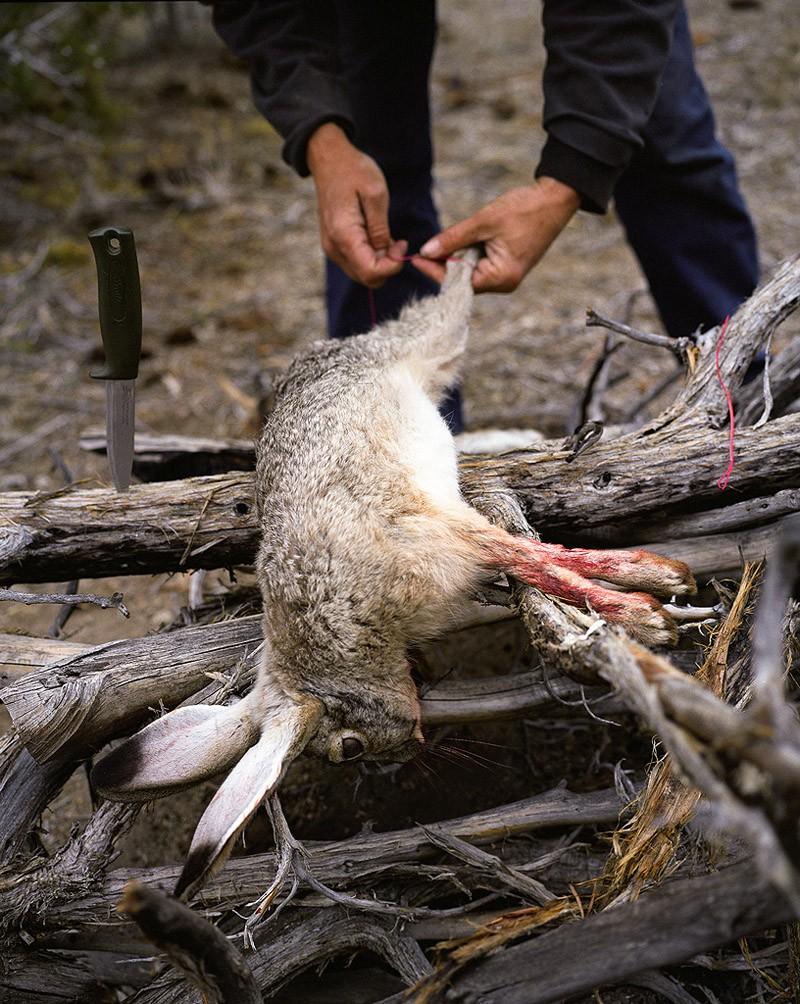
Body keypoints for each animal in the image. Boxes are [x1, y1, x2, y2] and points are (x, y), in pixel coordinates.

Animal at [91, 246, 694, 899]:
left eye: (347, 749)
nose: (411, 747)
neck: (335, 637)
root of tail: (328, 353)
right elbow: (530, 561)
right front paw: (651, 599)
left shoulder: (438, 530)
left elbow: (536, 559)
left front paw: (654, 597)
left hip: (429, 343)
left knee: (447, 307)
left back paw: (462, 258)